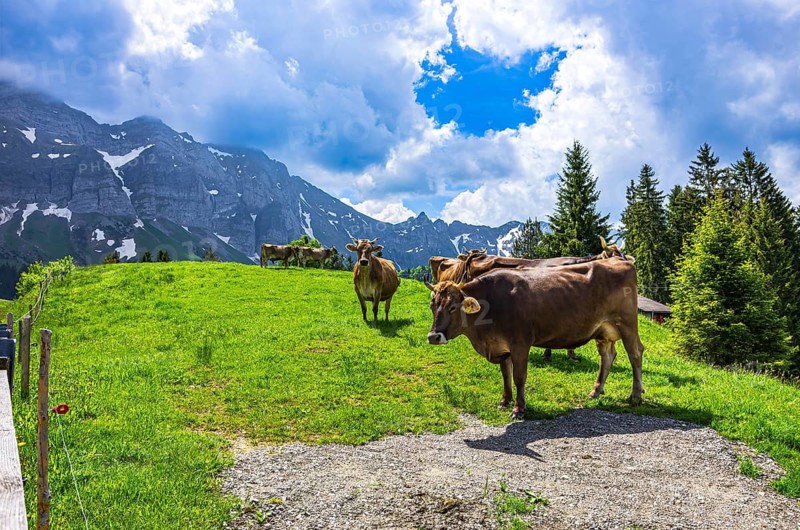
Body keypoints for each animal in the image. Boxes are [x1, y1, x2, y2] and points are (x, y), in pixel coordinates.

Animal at [425, 258, 644, 418]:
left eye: (453, 307)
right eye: (432, 305)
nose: (434, 336)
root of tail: (619, 260)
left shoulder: (520, 343)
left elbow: (519, 376)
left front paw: (519, 408)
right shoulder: (501, 346)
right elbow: (505, 375)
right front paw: (504, 401)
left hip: (627, 323)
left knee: (635, 354)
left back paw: (635, 395)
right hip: (603, 330)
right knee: (607, 356)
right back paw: (595, 391)